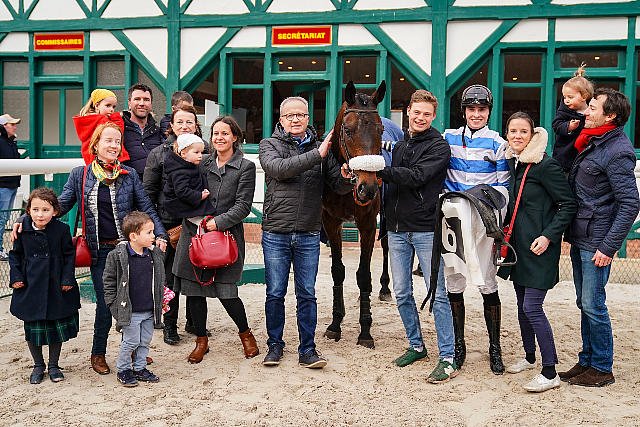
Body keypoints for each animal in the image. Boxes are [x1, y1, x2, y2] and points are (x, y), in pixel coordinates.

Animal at [322, 80, 391, 349]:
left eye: (381, 130)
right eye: (348, 130)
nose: (367, 188)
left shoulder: (368, 224)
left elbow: (363, 275)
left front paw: (365, 330)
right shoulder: (331, 222)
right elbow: (337, 271)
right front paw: (335, 323)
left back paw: (384, 288)